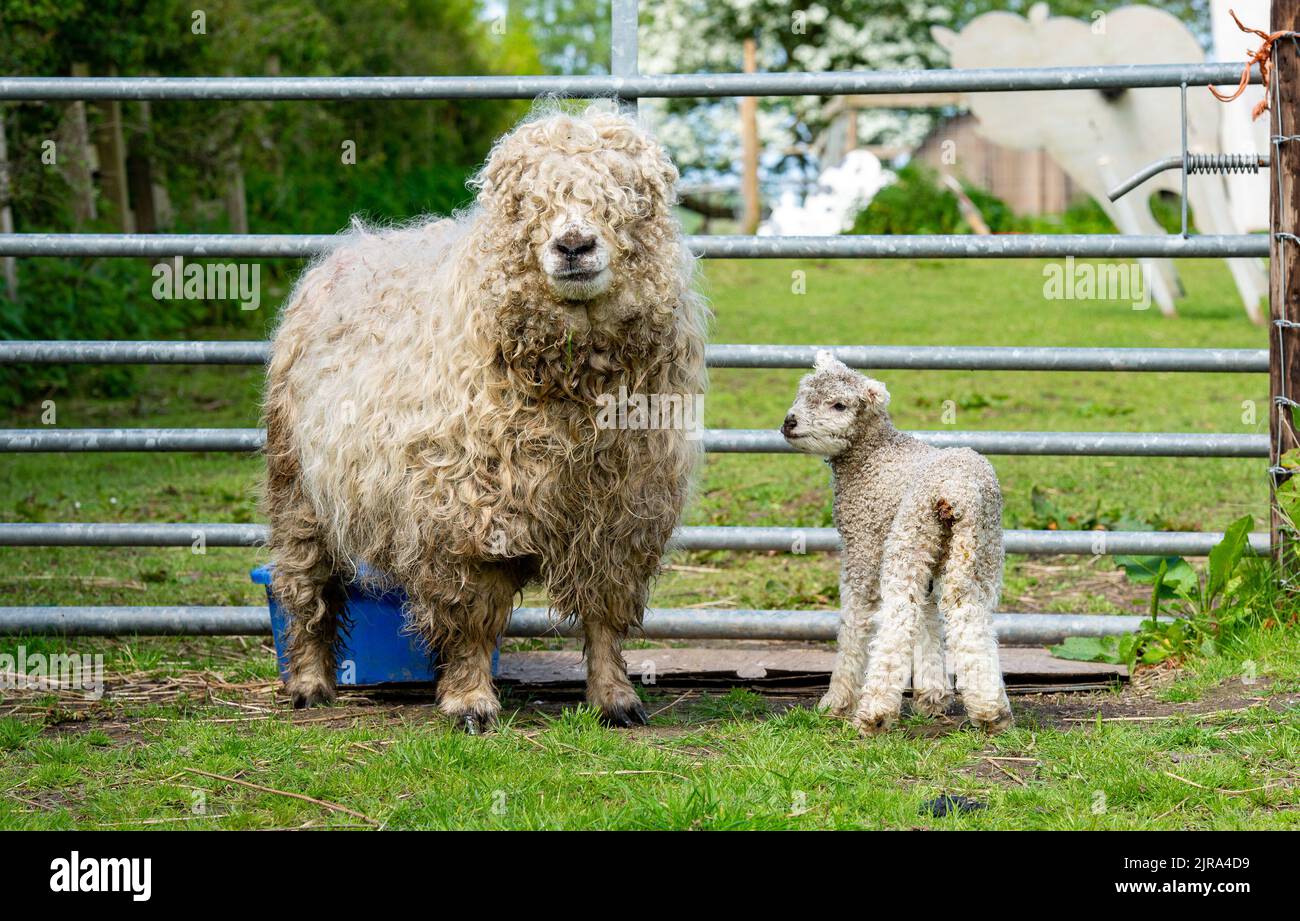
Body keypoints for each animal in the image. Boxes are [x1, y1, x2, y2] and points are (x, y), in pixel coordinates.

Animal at [263, 104, 712, 728]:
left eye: (627, 196)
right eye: (527, 202)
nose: (574, 245)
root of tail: (355, 241)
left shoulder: (622, 513)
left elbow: (604, 612)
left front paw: (615, 698)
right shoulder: (466, 510)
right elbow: (472, 614)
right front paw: (470, 701)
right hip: (295, 484)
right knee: (304, 582)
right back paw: (308, 682)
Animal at [774, 353, 1008, 733]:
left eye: (839, 405)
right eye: (804, 393)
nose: (790, 422)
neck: (872, 456)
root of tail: (957, 491)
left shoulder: (863, 542)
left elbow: (854, 623)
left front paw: (836, 702)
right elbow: (927, 618)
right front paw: (933, 697)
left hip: (908, 535)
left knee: (899, 614)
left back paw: (873, 714)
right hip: (979, 547)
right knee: (968, 613)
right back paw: (991, 711)